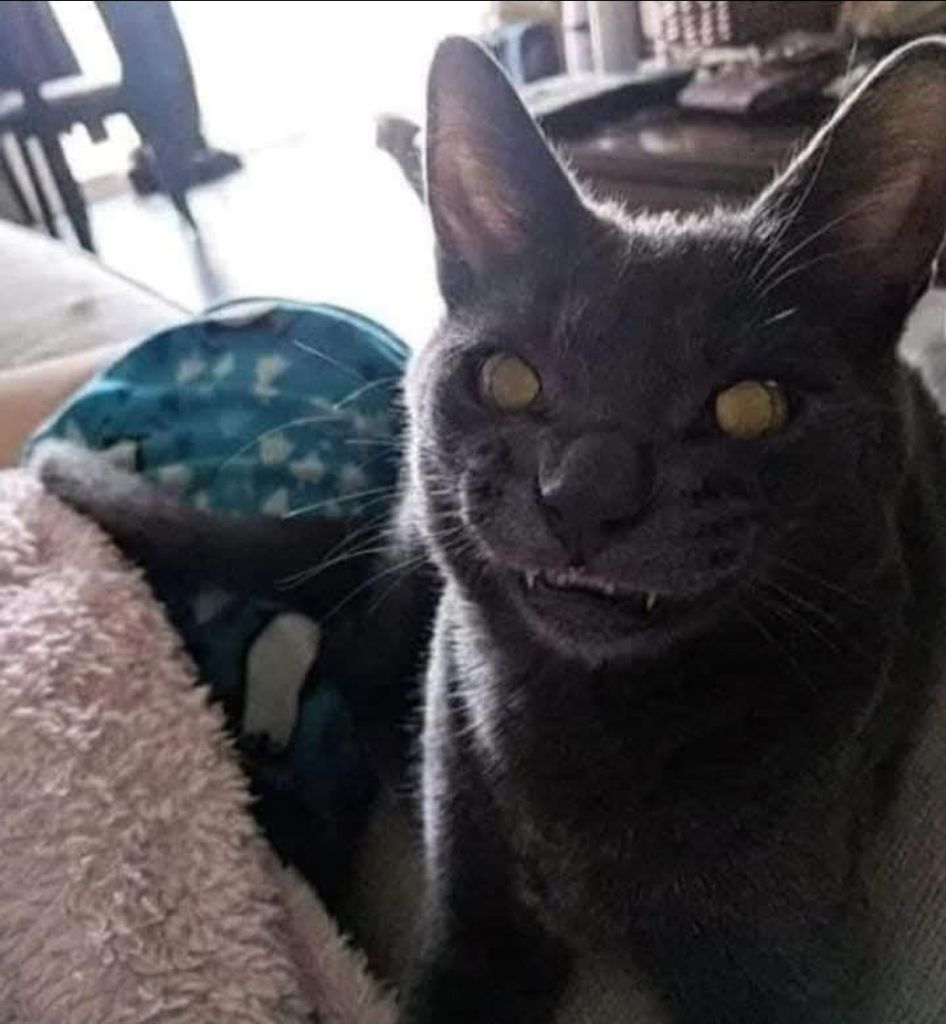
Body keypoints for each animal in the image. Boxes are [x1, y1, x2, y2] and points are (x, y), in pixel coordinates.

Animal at [35, 34, 946, 1024]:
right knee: (354, 656)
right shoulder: (476, 923)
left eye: (752, 405)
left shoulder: (786, 962)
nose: (582, 491)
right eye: (510, 379)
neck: (580, 732)